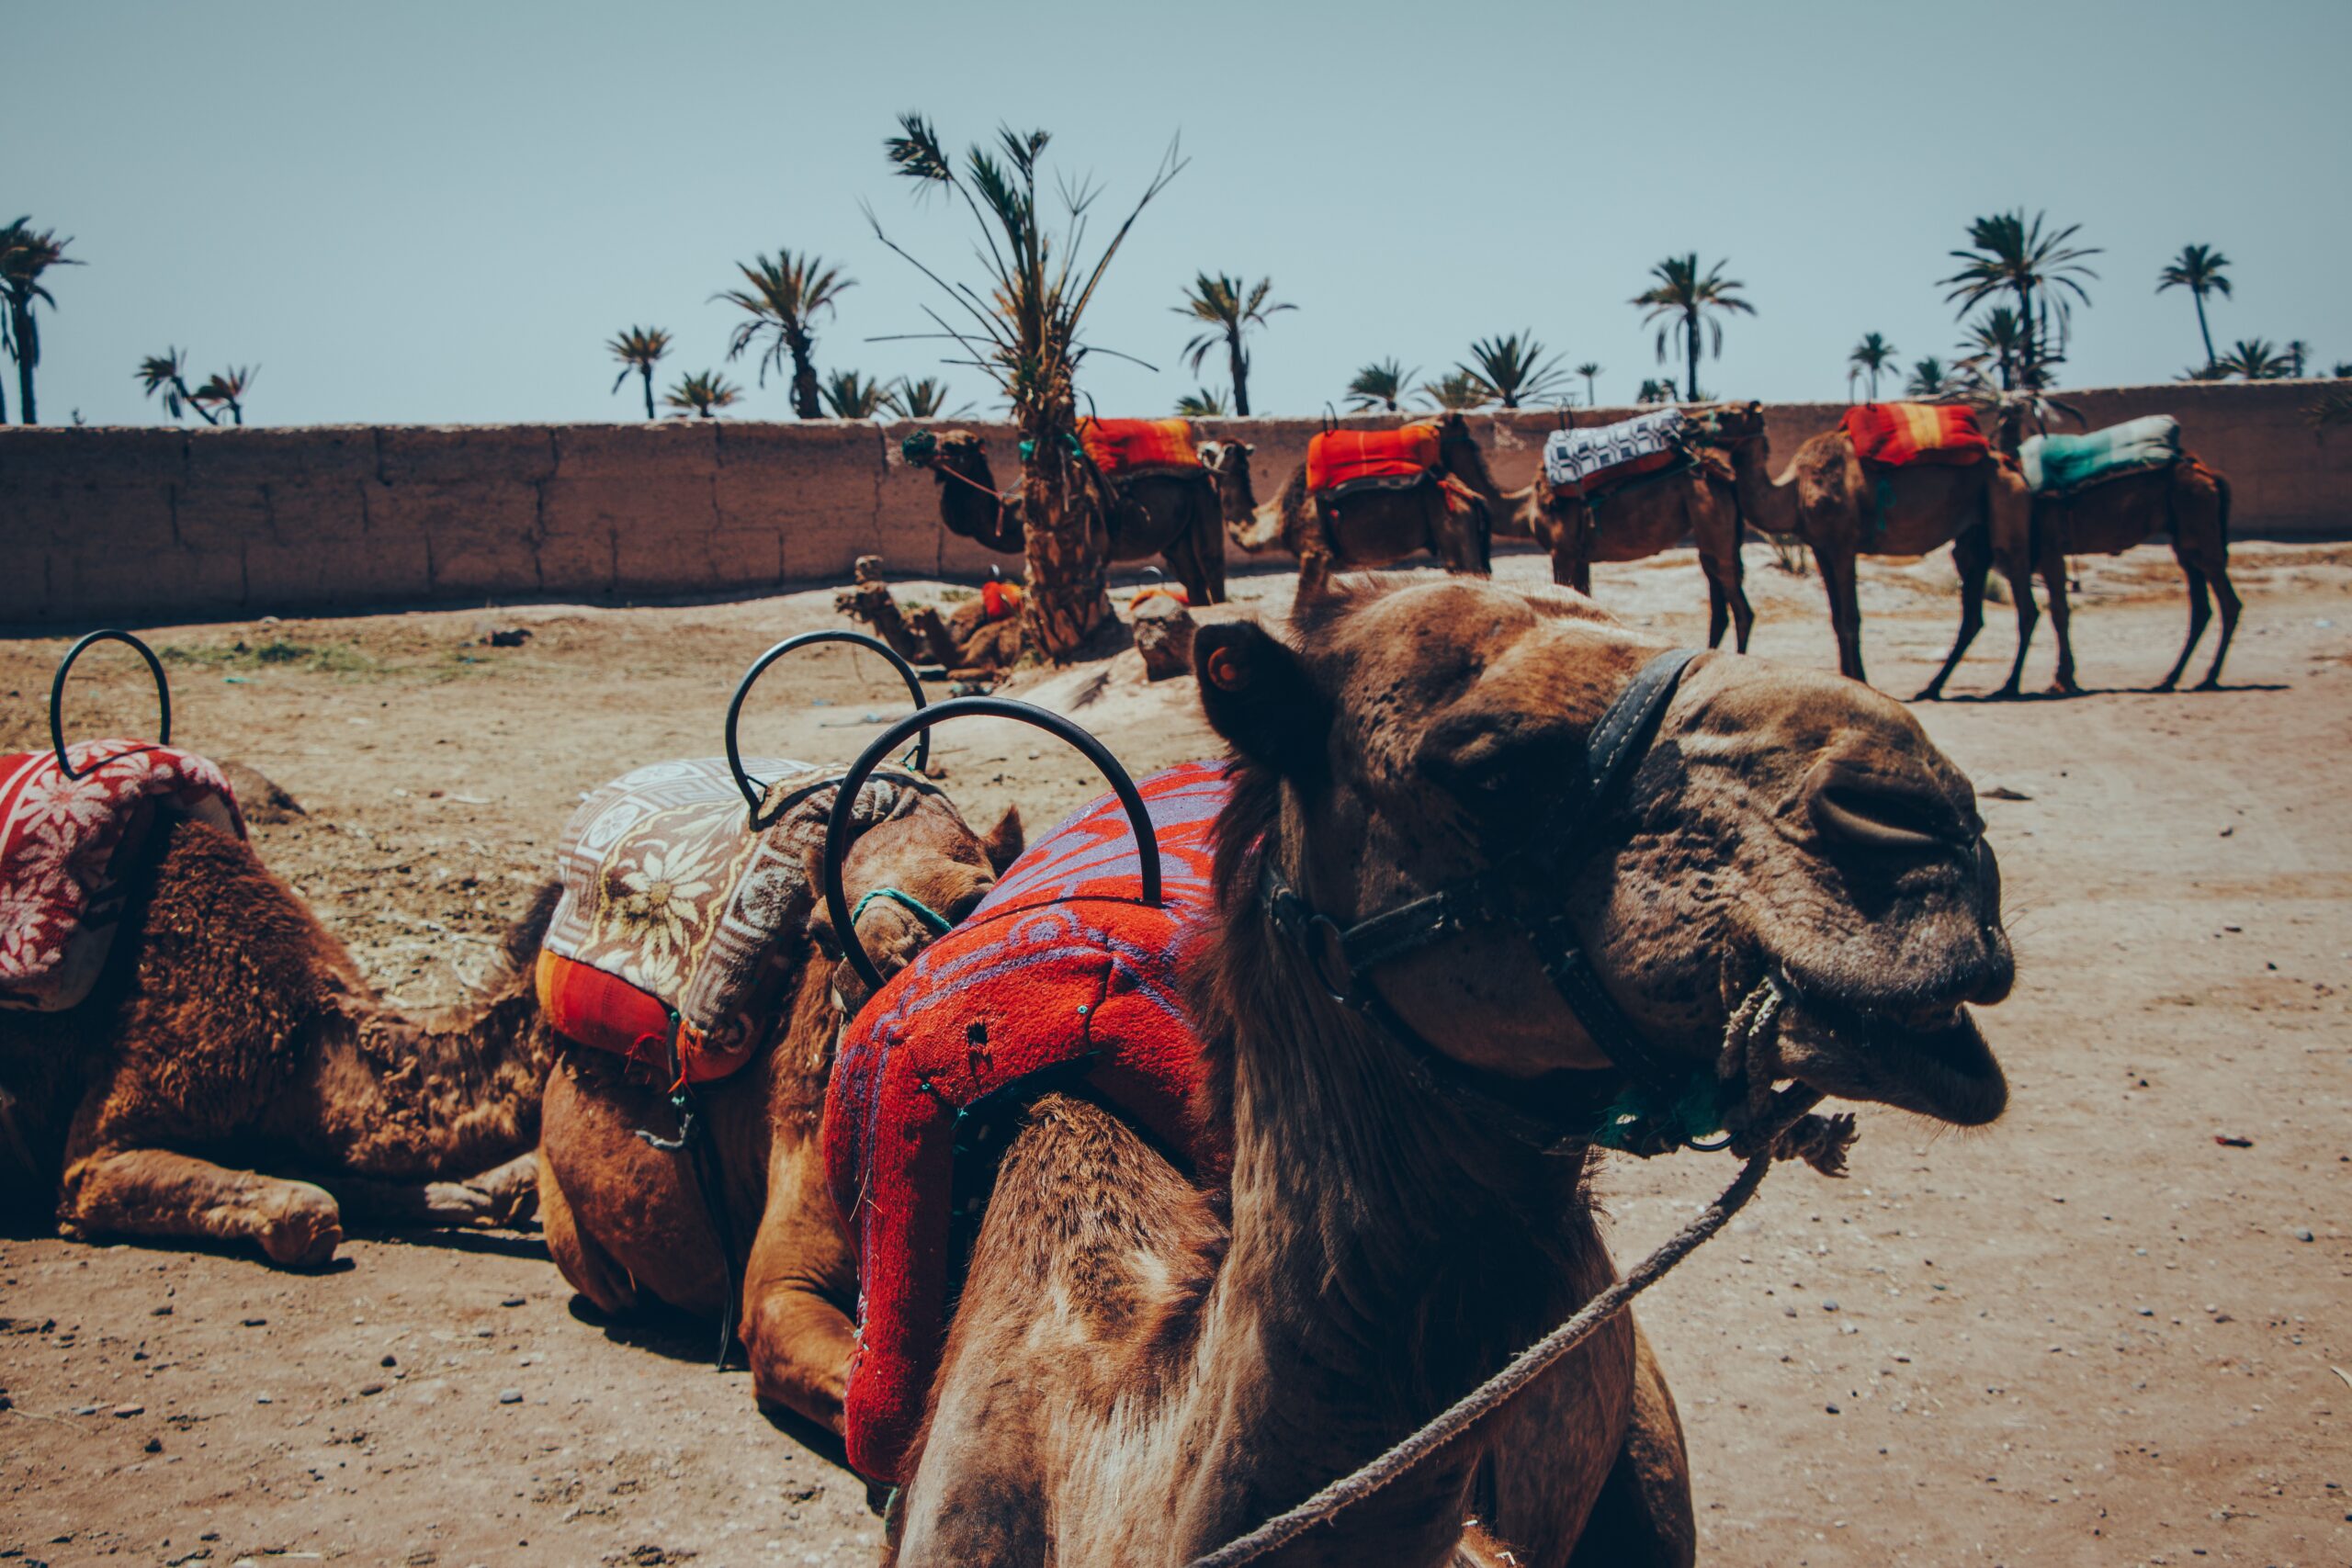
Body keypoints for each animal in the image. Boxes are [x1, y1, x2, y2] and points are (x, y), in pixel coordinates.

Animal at [912, 429, 1228, 605]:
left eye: (953, 445)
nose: (919, 445)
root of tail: (1205, 465)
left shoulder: (1097, 547)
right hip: (1176, 538)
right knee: (1191, 578)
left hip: (1204, 502)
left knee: (1211, 566)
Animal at [1525, 443, 1756, 652]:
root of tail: (1727, 478)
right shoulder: (1579, 556)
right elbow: (1584, 600)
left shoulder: (1562, 551)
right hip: (1711, 535)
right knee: (1719, 606)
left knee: (1741, 610)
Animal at [1709, 401, 2037, 699]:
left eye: (1727, 413)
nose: (1697, 429)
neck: (1796, 489)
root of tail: (2011, 464)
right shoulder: (1819, 548)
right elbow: (1836, 618)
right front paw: (1846, 678)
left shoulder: (1842, 544)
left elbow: (1850, 617)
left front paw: (1860, 680)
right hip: (1973, 536)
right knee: (1972, 613)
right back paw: (1932, 687)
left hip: (2007, 509)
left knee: (2025, 602)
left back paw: (2009, 686)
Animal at [2028, 457, 2239, 692]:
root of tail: (2211, 477)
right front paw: (2063, 679)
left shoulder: (2048, 548)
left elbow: (2057, 612)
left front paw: (2062, 680)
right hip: (2185, 544)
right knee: (2202, 608)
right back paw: (2171, 679)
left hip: (2199, 532)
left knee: (2229, 603)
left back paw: (2208, 678)